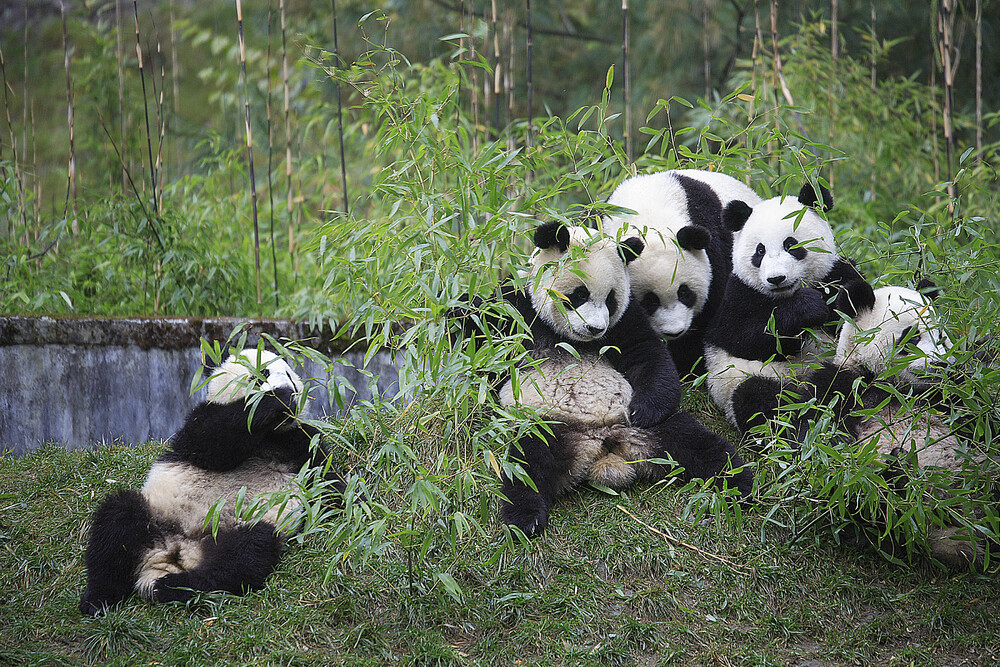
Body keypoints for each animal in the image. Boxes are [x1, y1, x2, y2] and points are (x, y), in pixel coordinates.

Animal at [78, 348, 345, 616]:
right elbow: (215, 439)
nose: (289, 391)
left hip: (242, 528)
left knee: (242, 557)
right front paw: (275, 400)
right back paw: (98, 599)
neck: (270, 435)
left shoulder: (300, 441)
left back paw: (173, 587)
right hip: (155, 513)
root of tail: (176, 551)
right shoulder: (200, 421)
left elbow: (326, 479)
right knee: (115, 527)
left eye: (290, 376)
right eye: (261, 374)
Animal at [457, 221, 752, 537]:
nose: (595, 328)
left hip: (654, 430)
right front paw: (453, 309)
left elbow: (645, 353)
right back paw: (524, 519)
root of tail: (604, 441)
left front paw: (644, 410)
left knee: (701, 446)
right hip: (548, 426)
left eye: (610, 299)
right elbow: (478, 331)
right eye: (579, 294)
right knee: (528, 466)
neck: (572, 339)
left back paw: (739, 483)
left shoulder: (624, 319)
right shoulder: (516, 310)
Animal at [703, 182, 870, 433]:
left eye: (791, 244)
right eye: (760, 251)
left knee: (844, 384)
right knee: (761, 402)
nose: (776, 278)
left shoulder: (833, 273)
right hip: (741, 378)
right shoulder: (737, 293)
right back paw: (802, 427)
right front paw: (808, 307)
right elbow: (747, 336)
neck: (786, 295)